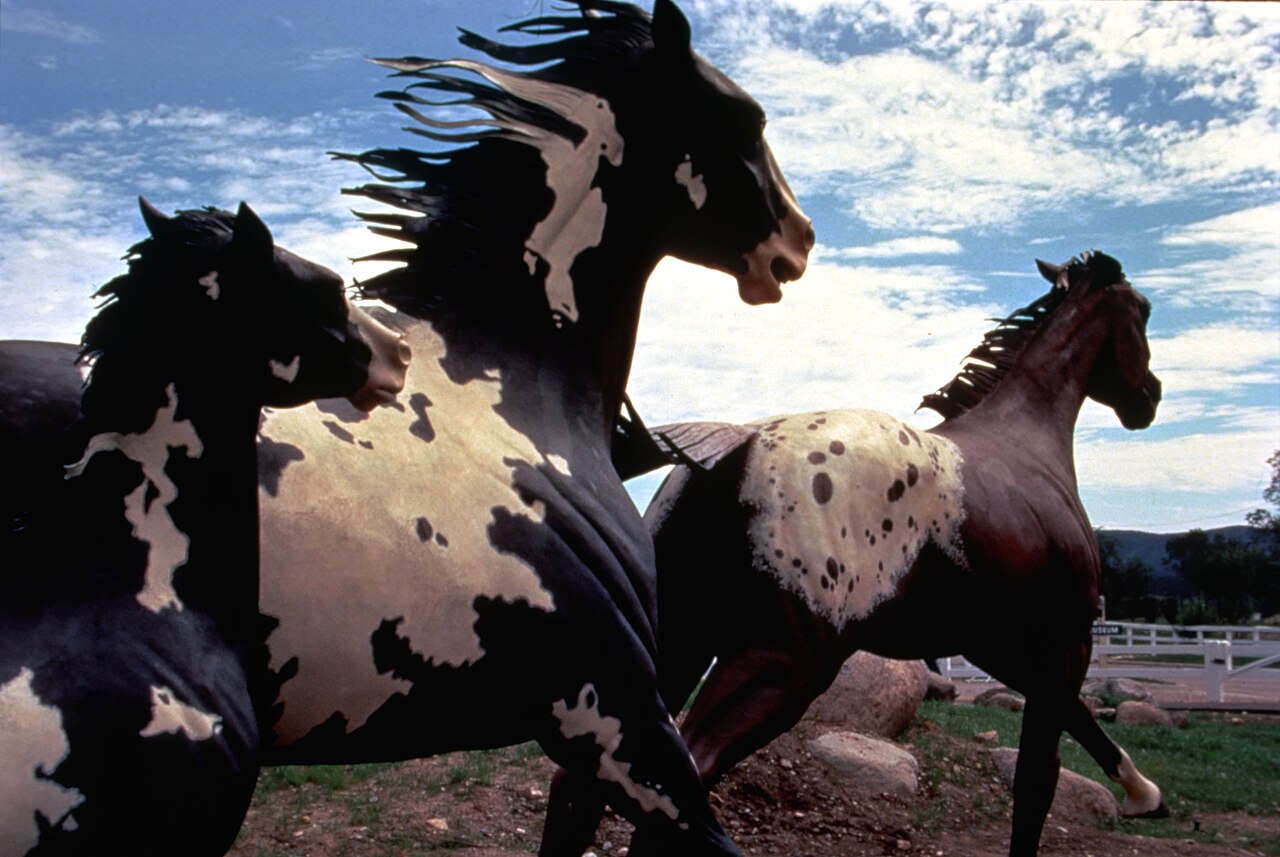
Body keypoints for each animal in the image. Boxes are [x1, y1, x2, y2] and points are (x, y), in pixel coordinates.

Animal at [547, 252, 1166, 857]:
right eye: (1142, 310)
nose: (1149, 396)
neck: (1027, 442)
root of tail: (733, 450)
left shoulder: (998, 644)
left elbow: (1080, 725)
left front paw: (1147, 795)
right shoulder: (1067, 640)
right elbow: (1039, 775)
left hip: (678, 641)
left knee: (587, 781)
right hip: (782, 665)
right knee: (682, 784)